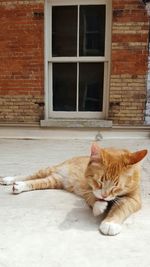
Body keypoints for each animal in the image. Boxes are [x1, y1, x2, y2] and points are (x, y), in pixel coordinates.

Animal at [0, 144, 147, 237]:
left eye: (116, 186)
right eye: (99, 181)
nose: (105, 196)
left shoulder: (134, 199)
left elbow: (121, 208)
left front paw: (110, 223)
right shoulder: (87, 189)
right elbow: (92, 199)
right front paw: (99, 206)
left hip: (53, 181)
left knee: (36, 181)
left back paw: (19, 186)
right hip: (48, 170)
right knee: (30, 175)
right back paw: (9, 179)